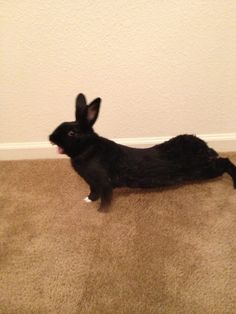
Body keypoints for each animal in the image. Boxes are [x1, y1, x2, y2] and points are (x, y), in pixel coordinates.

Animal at [48, 93, 236, 211]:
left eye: (72, 133)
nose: (50, 137)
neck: (88, 148)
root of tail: (204, 147)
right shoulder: (92, 183)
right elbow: (93, 192)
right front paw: (88, 200)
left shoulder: (102, 182)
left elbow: (104, 196)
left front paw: (102, 210)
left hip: (204, 170)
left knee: (225, 162)